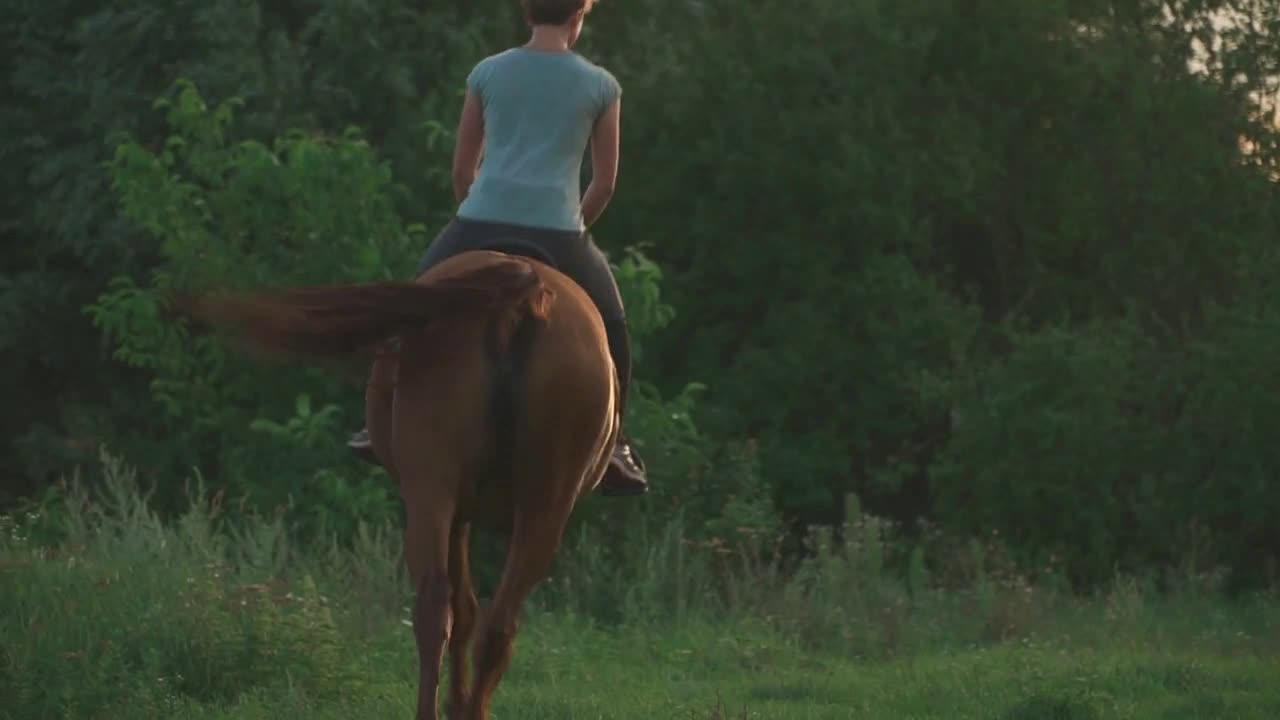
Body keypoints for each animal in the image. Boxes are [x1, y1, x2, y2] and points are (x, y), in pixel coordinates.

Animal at [175, 249, 619, 712]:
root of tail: (523, 293)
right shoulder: (460, 511)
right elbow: (466, 611)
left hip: (474, 496)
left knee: (453, 612)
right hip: (502, 502)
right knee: (473, 617)